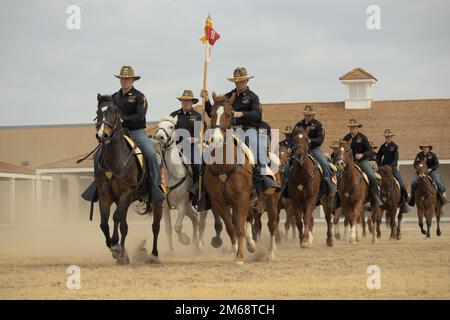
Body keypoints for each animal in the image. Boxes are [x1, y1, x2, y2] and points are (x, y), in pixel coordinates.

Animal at [94, 95, 163, 264]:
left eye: (114, 112)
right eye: (98, 112)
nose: (102, 135)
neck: (115, 159)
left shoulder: (127, 193)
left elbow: (115, 217)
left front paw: (115, 245)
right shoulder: (105, 196)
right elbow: (104, 223)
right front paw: (114, 247)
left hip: (156, 201)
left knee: (155, 226)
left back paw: (154, 255)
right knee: (124, 226)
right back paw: (124, 255)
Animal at [153, 116, 206, 254]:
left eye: (171, 126)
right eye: (158, 125)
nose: (159, 136)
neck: (173, 174)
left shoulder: (182, 204)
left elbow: (177, 226)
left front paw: (185, 240)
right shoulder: (165, 207)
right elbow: (168, 228)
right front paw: (171, 251)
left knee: (202, 222)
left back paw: (201, 245)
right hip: (188, 207)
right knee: (194, 217)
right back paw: (195, 243)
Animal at [203, 92, 280, 264]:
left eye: (229, 113)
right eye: (212, 113)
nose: (215, 139)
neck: (224, 166)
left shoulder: (242, 198)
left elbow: (239, 227)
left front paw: (239, 257)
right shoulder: (219, 202)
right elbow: (231, 227)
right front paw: (236, 250)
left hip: (271, 201)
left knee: (272, 224)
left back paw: (271, 253)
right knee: (249, 220)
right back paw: (251, 244)